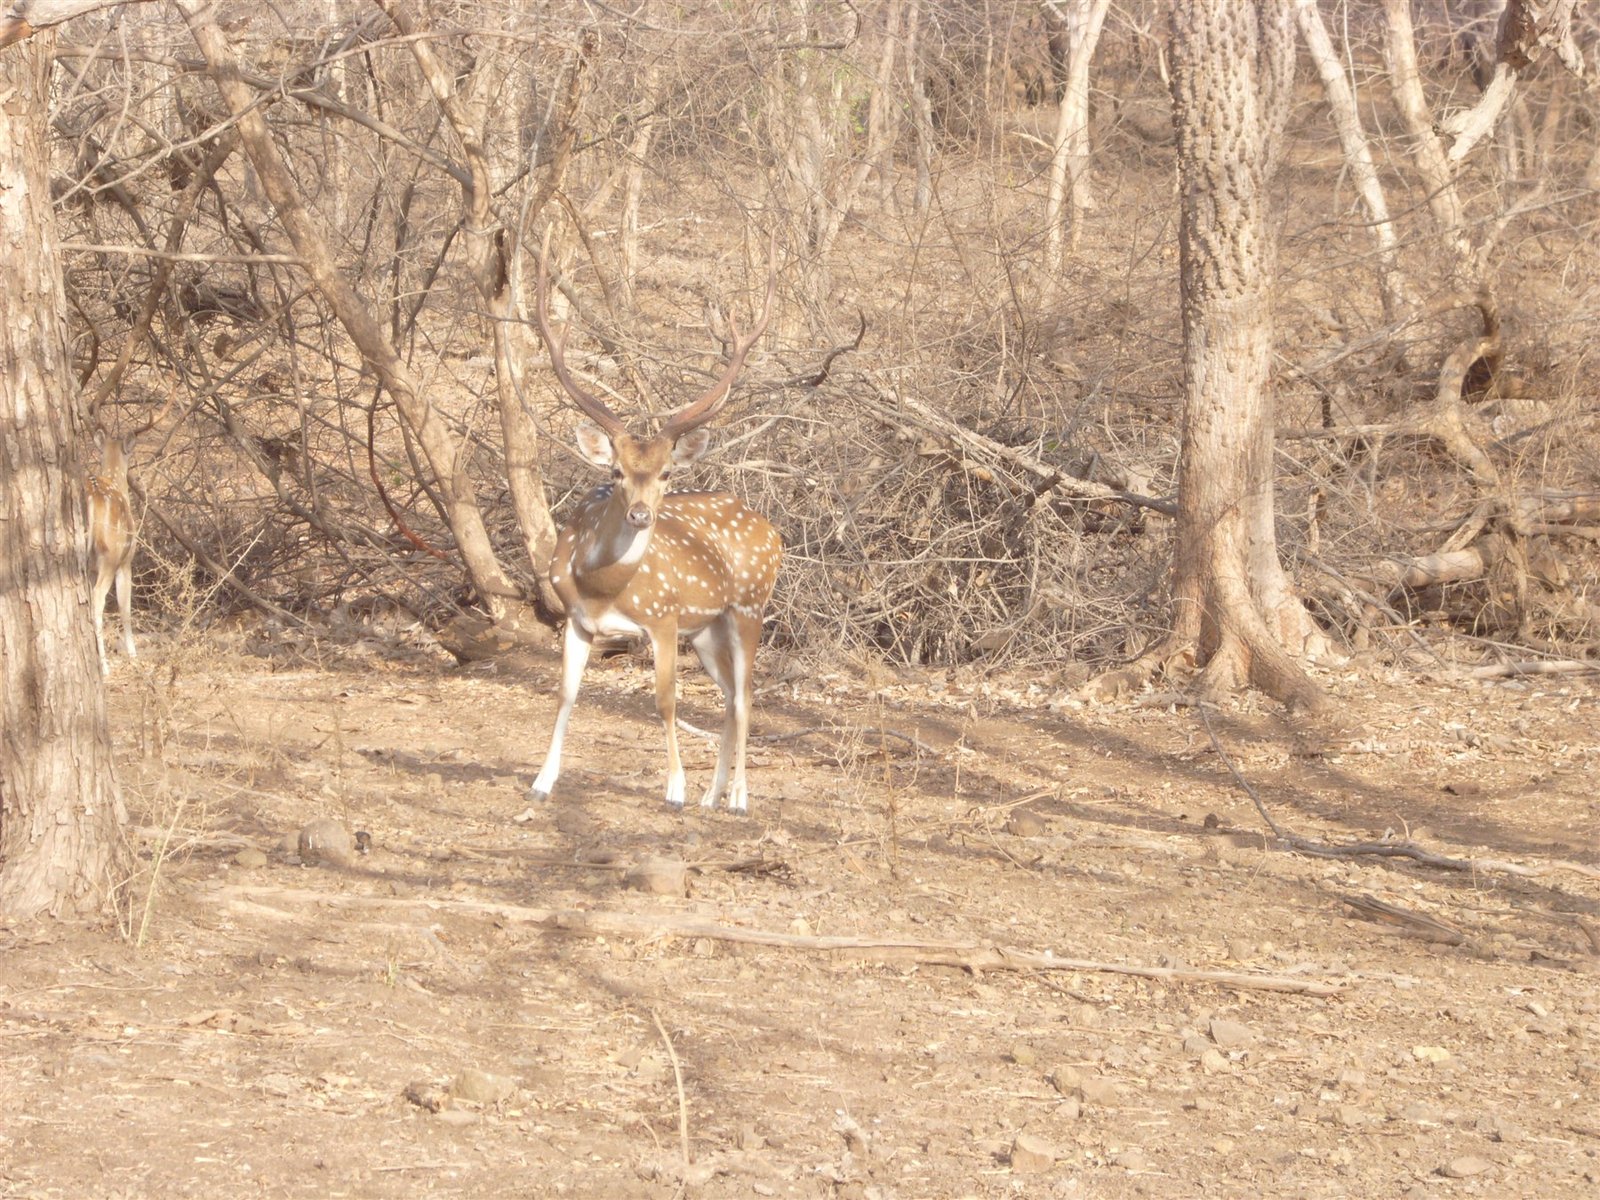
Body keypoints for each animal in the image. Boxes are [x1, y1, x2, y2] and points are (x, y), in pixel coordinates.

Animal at [528, 242, 781, 814]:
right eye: (616, 472)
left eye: (666, 473)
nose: (641, 515)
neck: (603, 587)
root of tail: (773, 531)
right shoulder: (577, 620)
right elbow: (565, 693)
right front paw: (542, 780)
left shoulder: (663, 617)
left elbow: (665, 700)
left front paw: (675, 788)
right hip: (707, 627)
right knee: (728, 696)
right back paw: (714, 793)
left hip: (749, 606)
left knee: (747, 695)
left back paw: (737, 796)